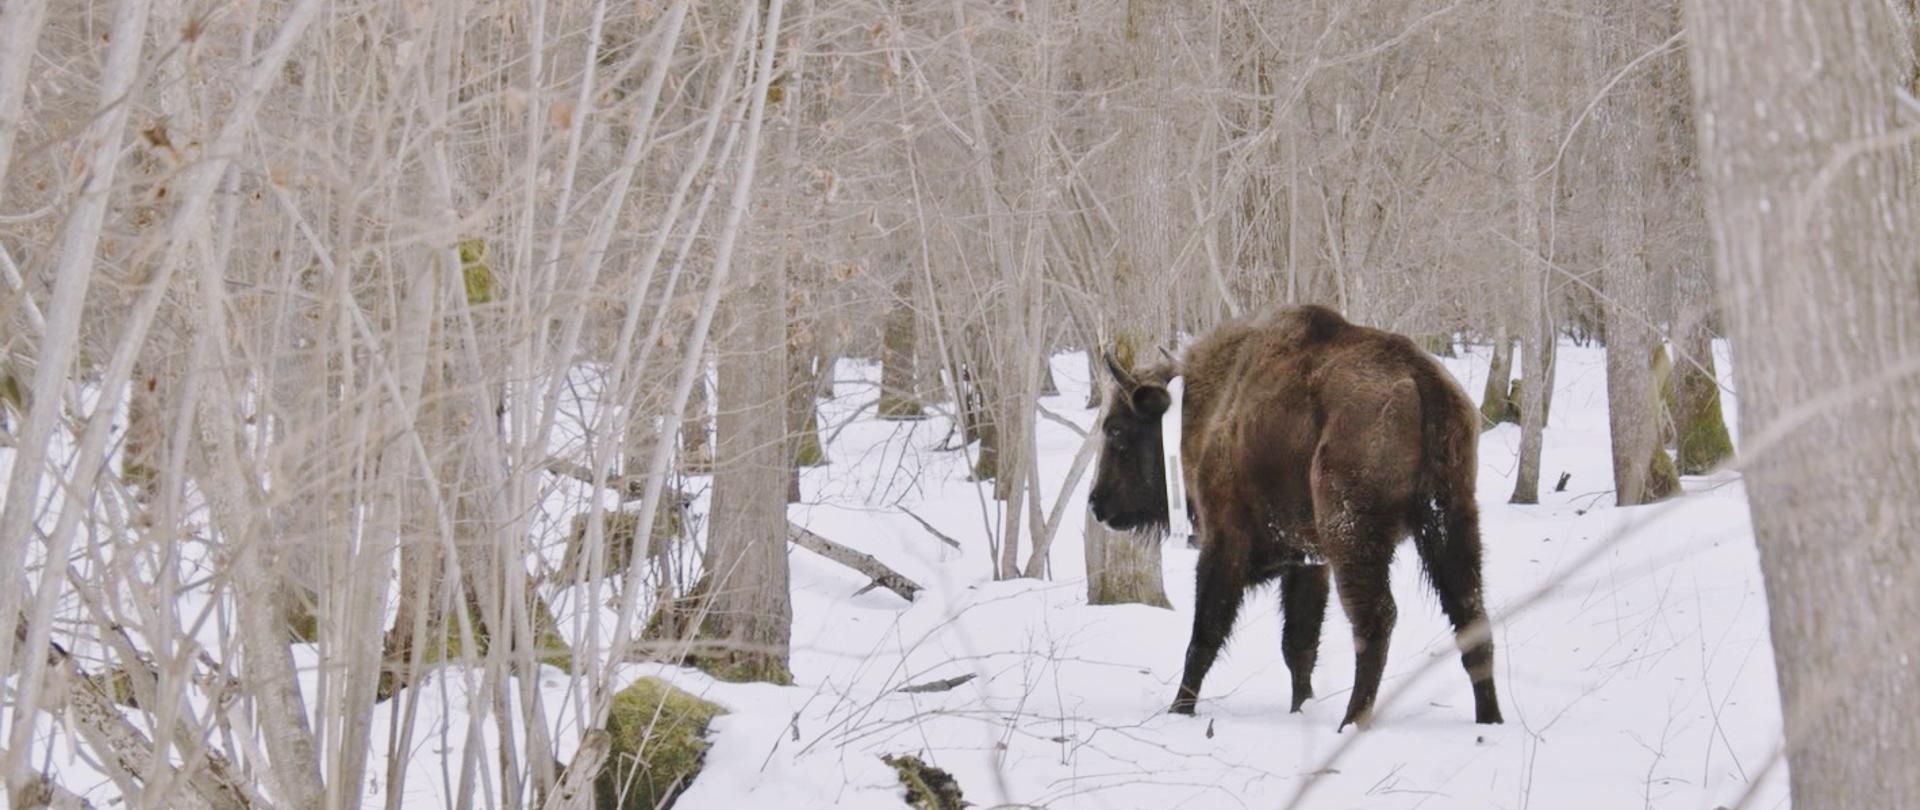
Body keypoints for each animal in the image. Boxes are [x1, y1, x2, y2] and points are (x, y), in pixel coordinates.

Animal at [1088, 305, 1503, 730]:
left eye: (1116, 430)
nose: (1096, 503)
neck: (1215, 404)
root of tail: (1422, 381)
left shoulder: (1225, 544)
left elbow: (1205, 635)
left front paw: (1179, 710)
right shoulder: (1307, 563)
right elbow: (1298, 644)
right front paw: (1301, 707)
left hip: (1354, 537)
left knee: (1376, 620)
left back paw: (1351, 722)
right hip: (1449, 521)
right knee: (1470, 614)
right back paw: (1489, 720)